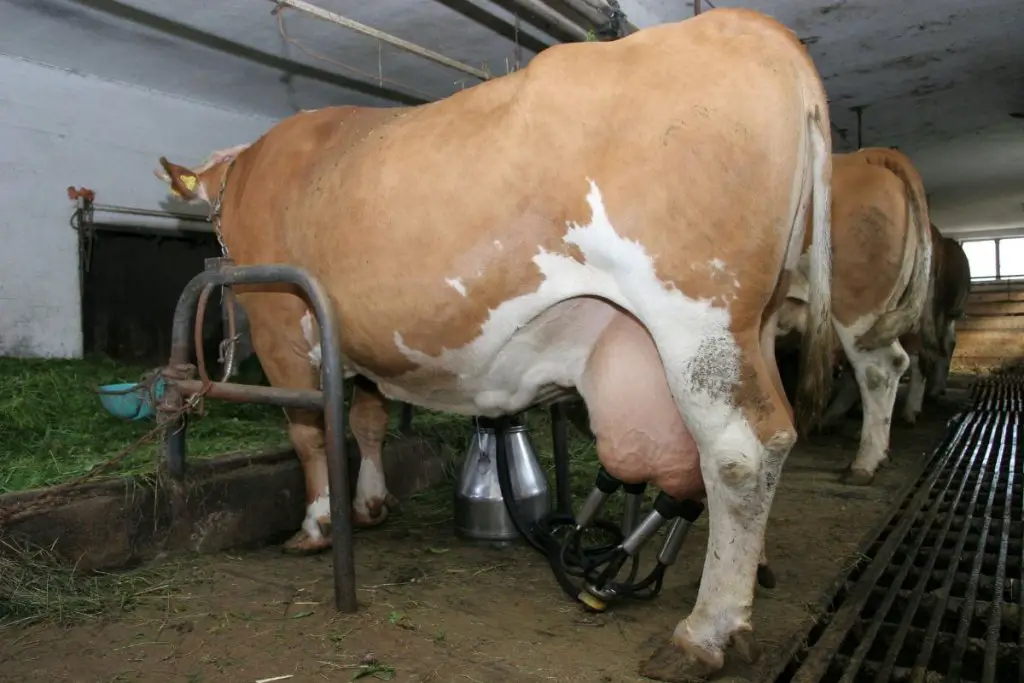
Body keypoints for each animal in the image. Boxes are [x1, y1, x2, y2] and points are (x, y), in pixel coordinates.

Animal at [155, 9, 835, 671]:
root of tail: (757, 28)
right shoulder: (364, 341)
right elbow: (369, 422)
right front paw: (371, 505)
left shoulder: (281, 330)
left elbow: (308, 433)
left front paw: (318, 524)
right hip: (756, 322)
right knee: (775, 434)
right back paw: (753, 579)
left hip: (696, 314)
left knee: (739, 454)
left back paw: (705, 632)